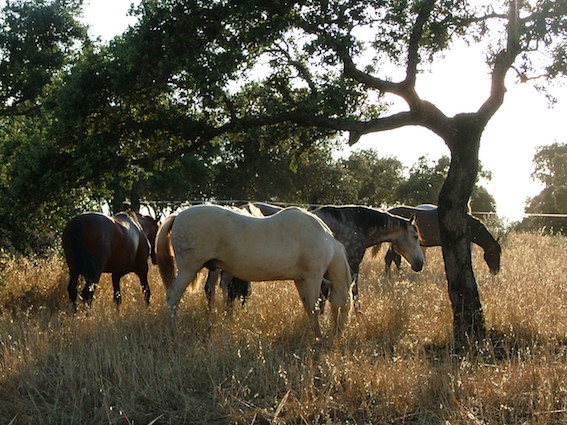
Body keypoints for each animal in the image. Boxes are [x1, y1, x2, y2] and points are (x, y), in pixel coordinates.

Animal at [158, 204, 352, 336]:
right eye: (345, 306)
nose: (339, 332)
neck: (322, 238)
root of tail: (178, 215)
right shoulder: (313, 277)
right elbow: (314, 307)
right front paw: (318, 335)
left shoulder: (300, 279)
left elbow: (307, 305)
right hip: (188, 269)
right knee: (173, 296)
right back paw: (171, 330)